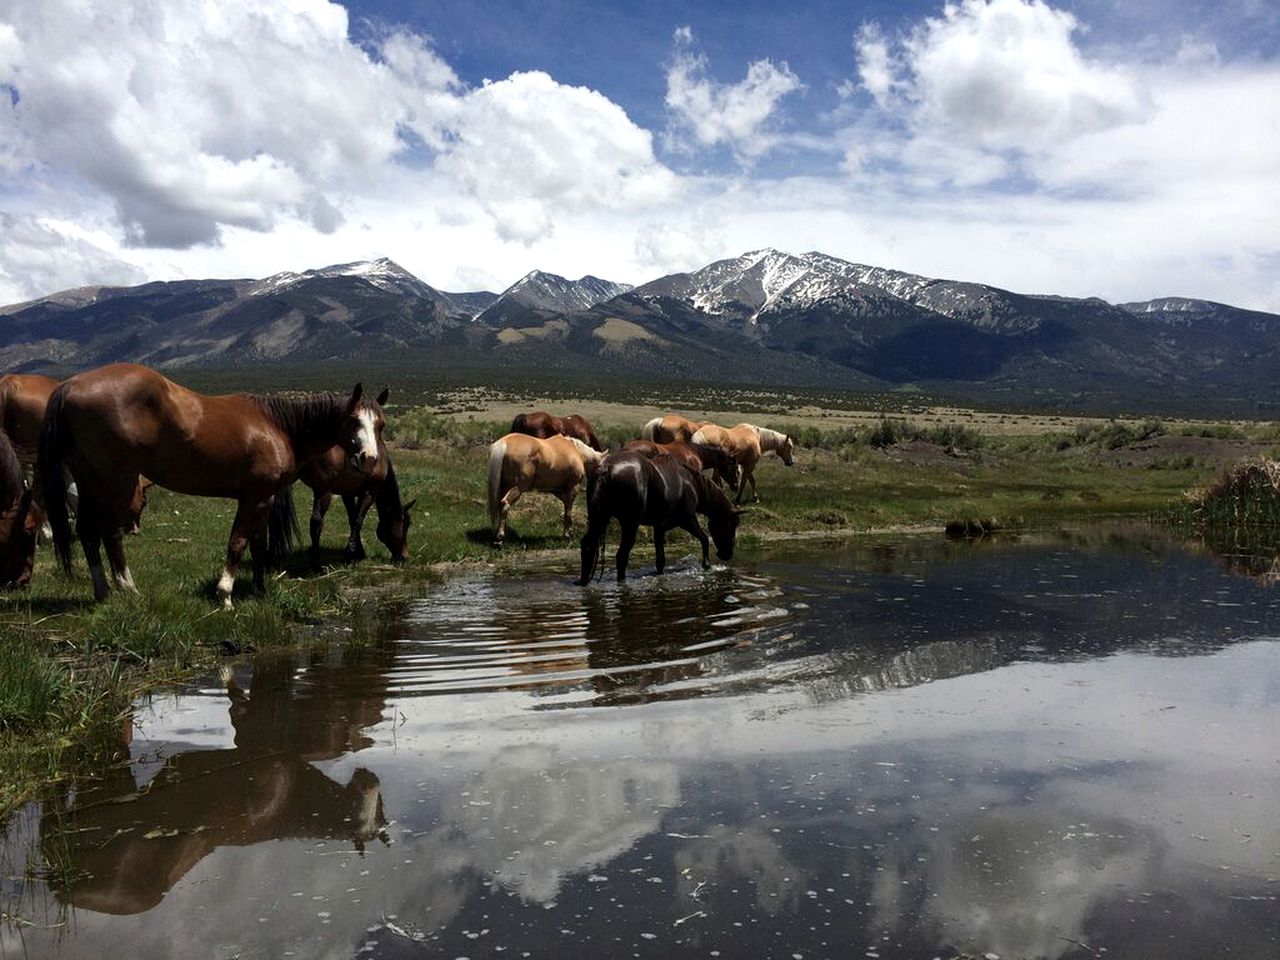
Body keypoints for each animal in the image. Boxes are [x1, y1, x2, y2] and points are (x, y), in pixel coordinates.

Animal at [37, 363, 381, 604]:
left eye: (379, 424)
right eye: (353, 421)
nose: (369, 458)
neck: (276, 426)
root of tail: (70, 385)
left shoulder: (264, 498)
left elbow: (258, 544)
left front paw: (258, 591)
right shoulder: (253, 498)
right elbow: (237, 543)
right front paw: (225, 594)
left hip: (88, 480)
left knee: (86, 531)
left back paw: (103, 591)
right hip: (116, 480)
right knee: (110, 532)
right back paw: (128, 588)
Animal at [299, 386, 414, 563]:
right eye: (405, 524)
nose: (404, 556)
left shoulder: (348, 492)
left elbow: (352, 518)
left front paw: (357, 551)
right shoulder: (371, 491)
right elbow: (358, 520)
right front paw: (353, 552)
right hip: (323, 491)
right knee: (316, 521)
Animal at [578, 450, 747, 586]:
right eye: (731, 525)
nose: (727, 554)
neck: (691, 482)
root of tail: (605, 468)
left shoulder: (659, 528)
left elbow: (660, 561)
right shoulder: (687, 520)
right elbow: (704, 539)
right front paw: (706, 565)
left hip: (599, 519)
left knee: (588, 545)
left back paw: (584, 581)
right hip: (629, 524)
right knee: (622, 556)